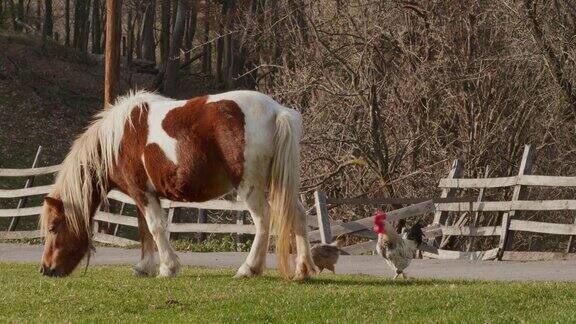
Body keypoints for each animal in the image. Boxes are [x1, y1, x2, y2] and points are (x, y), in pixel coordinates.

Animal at [39, 90, 320, 280]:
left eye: (54, 227)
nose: (45, 269)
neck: (118, 139)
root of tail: (277, 111)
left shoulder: (142, 193)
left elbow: (155, 228)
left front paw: (167, 268)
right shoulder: (144, 194)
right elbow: (144, 230)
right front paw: (145, 267)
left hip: (250, 187)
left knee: (264, 221)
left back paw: (248, 268)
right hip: (278, 183)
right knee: (297, 215)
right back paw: (303, 270)